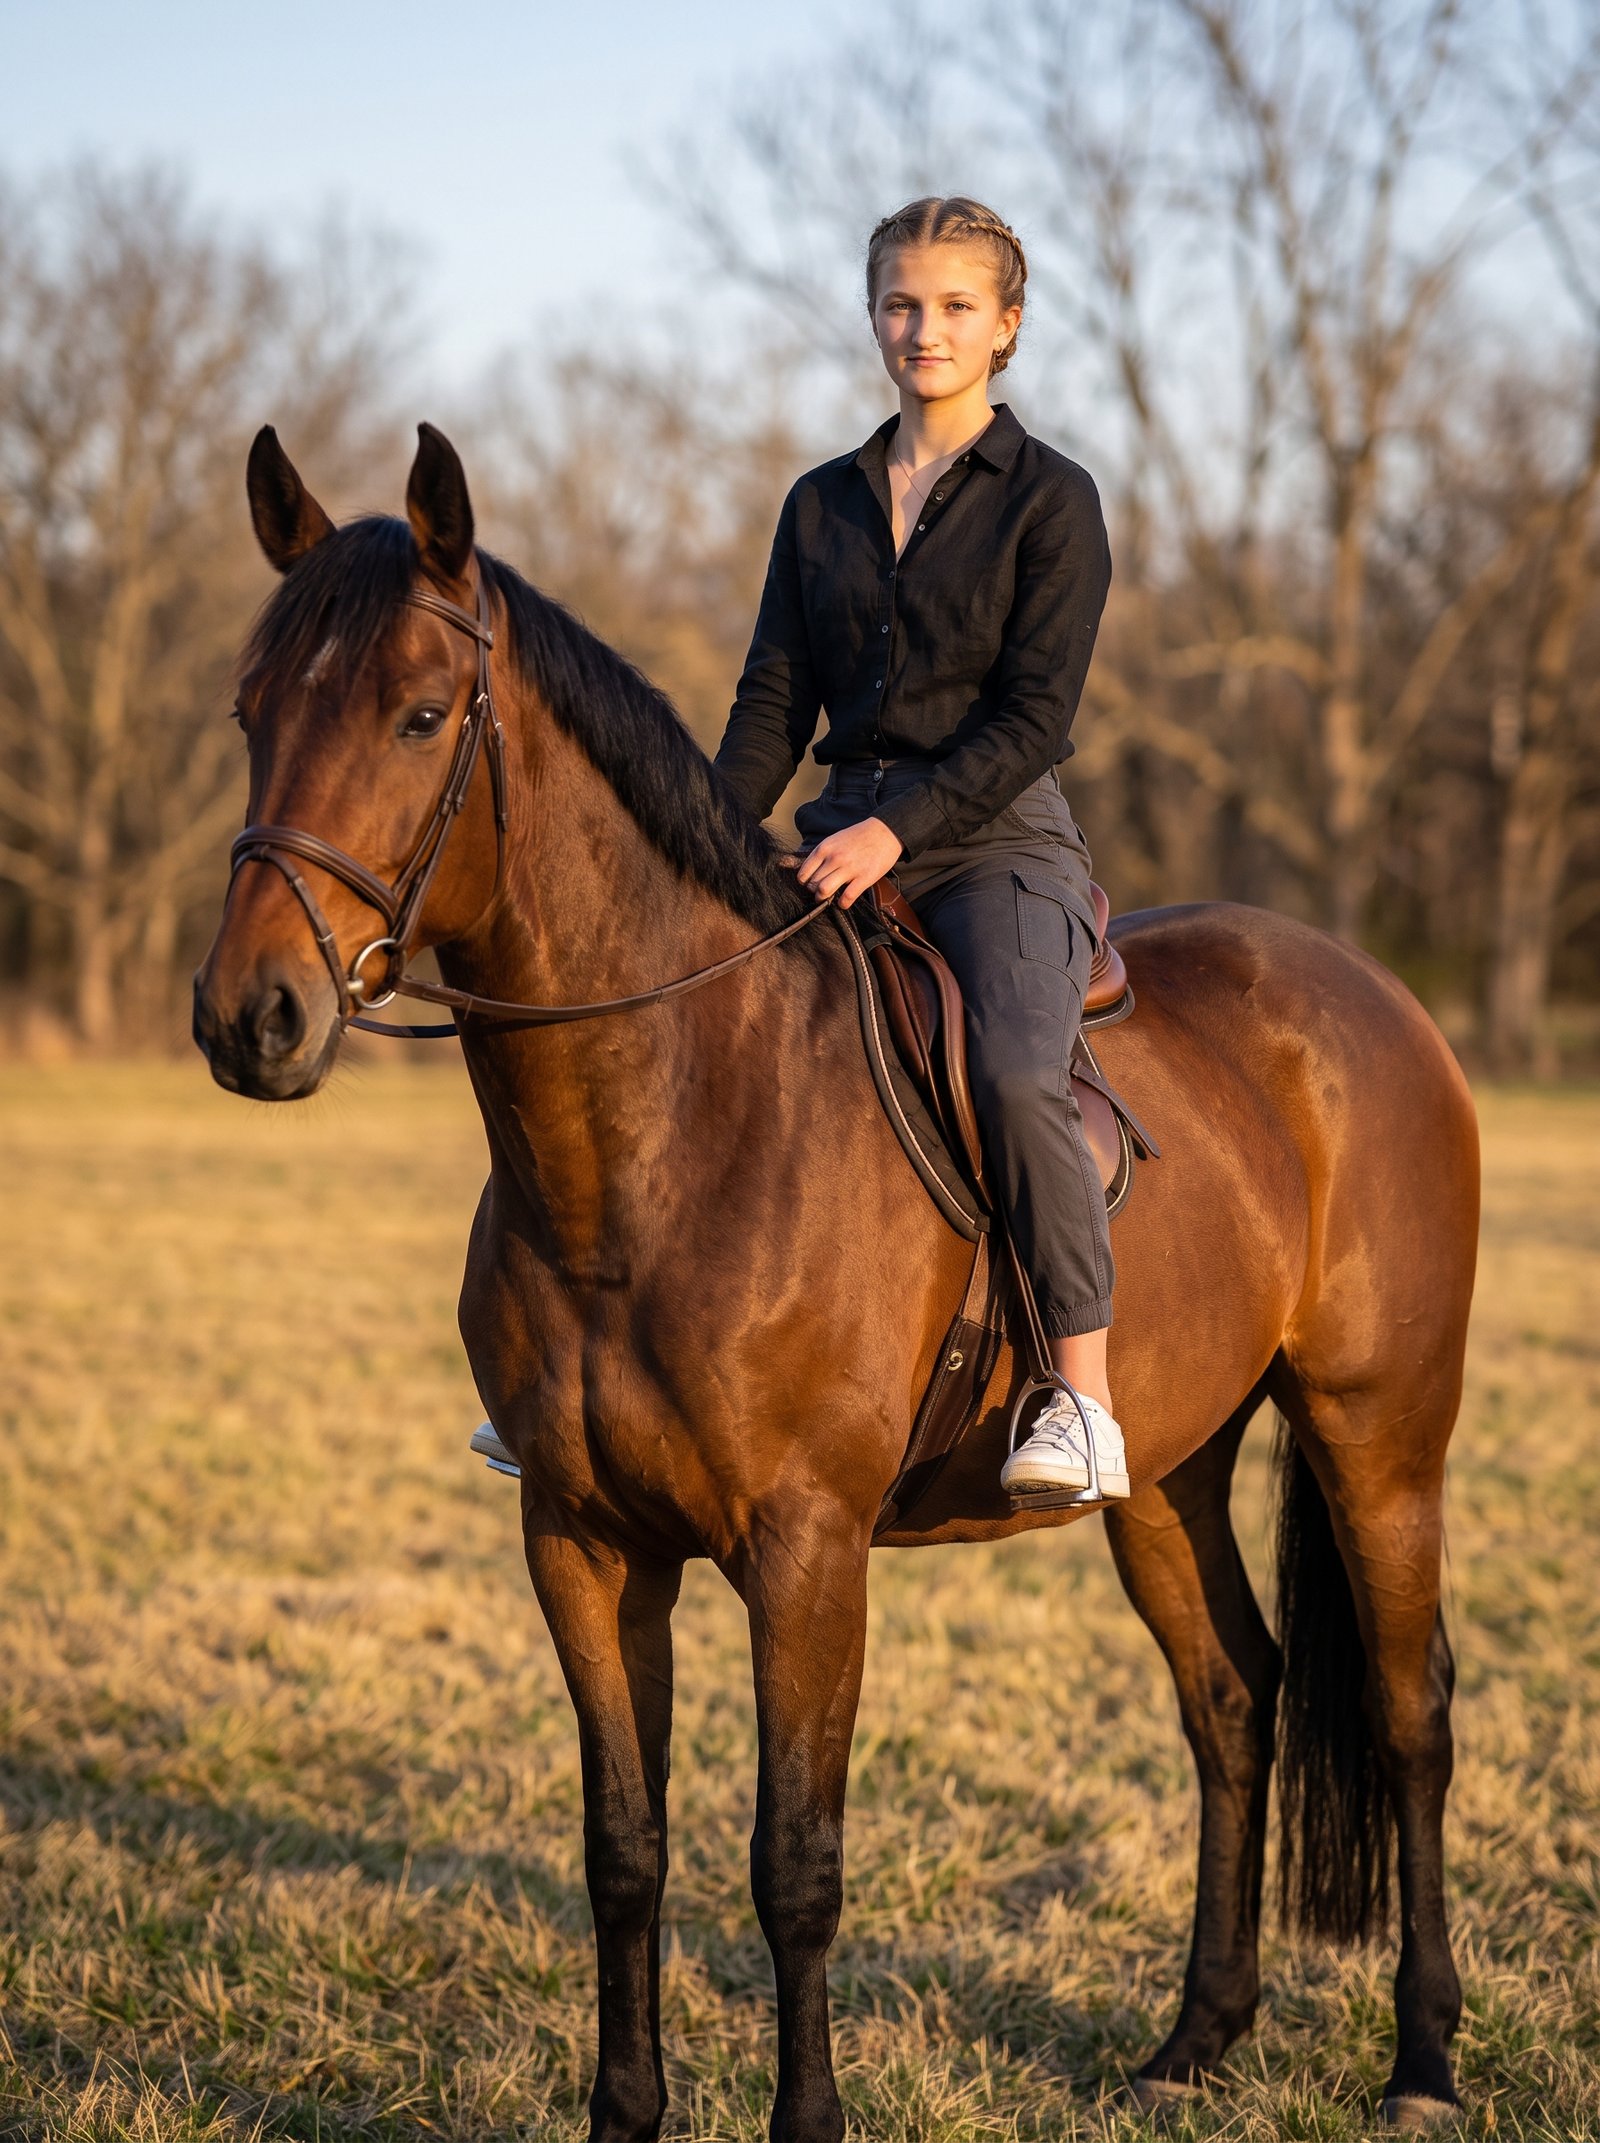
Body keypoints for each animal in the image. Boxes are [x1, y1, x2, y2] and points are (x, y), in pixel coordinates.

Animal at [194, 423, 1479, 2139]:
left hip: (1377, 1432)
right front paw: (625, 2113)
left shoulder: (806, 1552)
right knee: (1231, 1696)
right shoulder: (582, 1542)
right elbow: (625, 1851)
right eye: (252, 711)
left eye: (417, 713)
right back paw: (1194, 2040)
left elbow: (793, 1865)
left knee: (1409, 1714)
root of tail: (1372, 995)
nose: (249, 1016)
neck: (668, 1132)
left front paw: (807, 2116)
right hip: (1167, 1472)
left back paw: (1422, 2059)